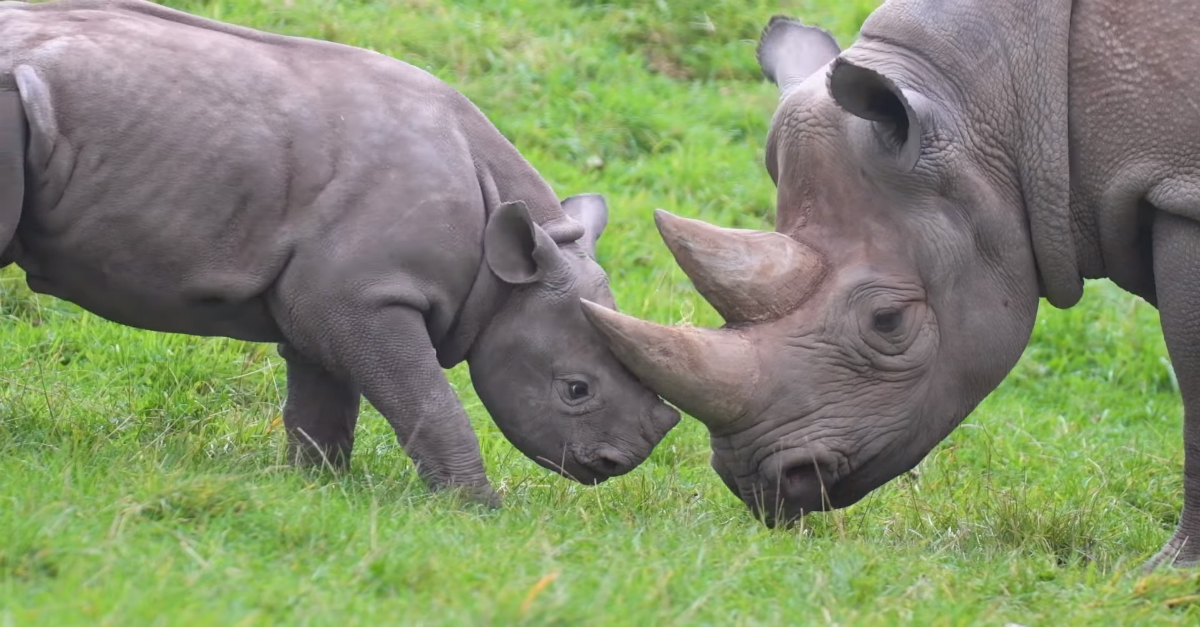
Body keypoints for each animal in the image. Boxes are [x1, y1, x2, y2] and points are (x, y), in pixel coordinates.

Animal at [0, 0, 681, 502]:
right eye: (576, 390)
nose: (616, 462)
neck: (500, 268)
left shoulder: (328, 295)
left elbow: (324, 396)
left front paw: (317, 488)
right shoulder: (367, 296)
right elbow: (427, 397)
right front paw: (478, 508)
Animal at [580, 0, 1200, 566]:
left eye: (888, 321)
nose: (759, 483)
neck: (999, 101)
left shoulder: (1181, 190)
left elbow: (1193, 387)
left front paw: (1168, 572)